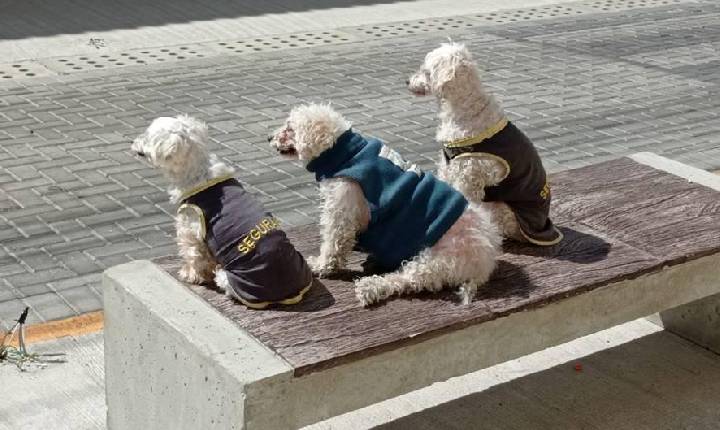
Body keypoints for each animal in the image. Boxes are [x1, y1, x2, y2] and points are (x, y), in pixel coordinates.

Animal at [132, 114, 312, 310]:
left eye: (147, 135)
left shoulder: (190, 230)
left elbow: (194, 256)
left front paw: (191, 275)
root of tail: (289, 293)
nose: (133, 142)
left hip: (231, 279)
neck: (198, 172)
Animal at [270, 103, 500, 306]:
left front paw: (321, 265)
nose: (269, 137)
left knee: (405, 281)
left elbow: (334, 243)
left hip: (435, 262)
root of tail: (486, 258)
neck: (346, 153)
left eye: (290, 128)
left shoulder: (342, 207)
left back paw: (370, 287)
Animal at [410, 43, 564, 247]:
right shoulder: (449, 165)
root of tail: (543, 227)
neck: (466, 109)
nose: (407, 81)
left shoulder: (468, 174)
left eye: (426, 71)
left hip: (500, 209)